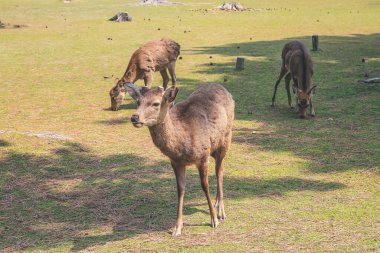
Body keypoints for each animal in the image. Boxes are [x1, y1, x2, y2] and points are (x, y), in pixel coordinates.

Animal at [124, 82, 235, 235]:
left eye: (156, 103)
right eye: (138, 101)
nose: (134, 118)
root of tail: (221, 87)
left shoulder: (203, 156)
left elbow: (205, 186)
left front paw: (213, 219)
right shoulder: (176, 162)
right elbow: (180, 189)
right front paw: (177, 227)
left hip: (225, 140)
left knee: (219, 171)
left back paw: (221, 211)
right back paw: (217, 202)